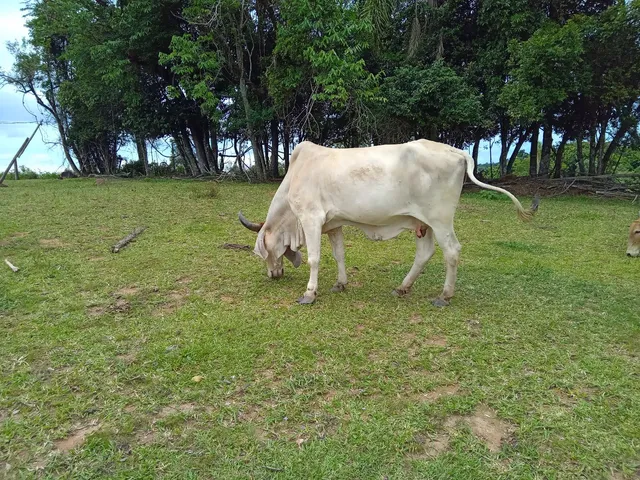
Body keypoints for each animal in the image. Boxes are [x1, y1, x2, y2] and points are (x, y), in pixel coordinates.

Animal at [238, 139, 539, 306]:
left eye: (262, 252)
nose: (272, 274)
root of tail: (457, 152)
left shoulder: (311, 218)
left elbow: (314, 258)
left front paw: (310, 294)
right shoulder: (333, 223)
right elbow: (339, 254)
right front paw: (340, 284)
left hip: (440, 219)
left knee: (452, 251)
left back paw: (444, 296)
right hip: (423, 223)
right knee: (425, 253)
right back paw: (403, 287)